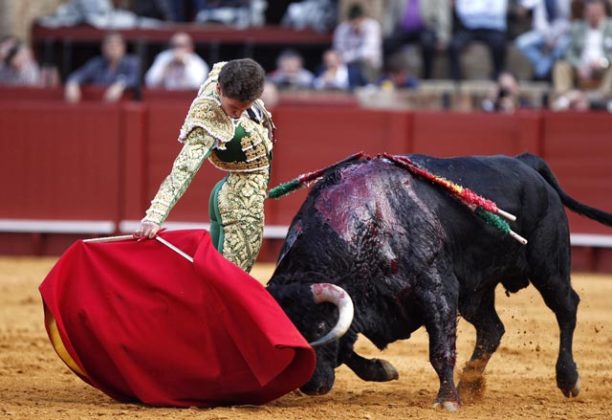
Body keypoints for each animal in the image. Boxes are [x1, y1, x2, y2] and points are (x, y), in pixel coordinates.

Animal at [266, 153, 612, 410]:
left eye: (321, 327)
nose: (310, 385)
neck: (371, 224)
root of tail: (525, 162)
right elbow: (348, 349)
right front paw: (384, 370)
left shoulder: (437, 288)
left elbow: (440, 348)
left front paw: (447, 400)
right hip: (477, 291)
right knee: (492, 329)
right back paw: (470, 384)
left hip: (549, 267)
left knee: (566, 308)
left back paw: (568, 379)